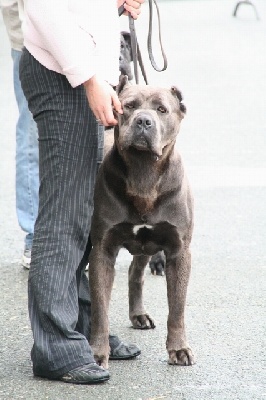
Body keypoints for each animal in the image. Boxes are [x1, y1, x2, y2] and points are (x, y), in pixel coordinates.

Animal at [88, 76, 194, 370]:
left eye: (162, 110)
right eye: (129, 106)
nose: (143, 121)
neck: (143, 171)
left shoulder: (179, 252)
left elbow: (177, 308)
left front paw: (179, 349)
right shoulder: (102, 250)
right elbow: (99, 308)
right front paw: (98, 353)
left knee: (136, 275)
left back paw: (139, 314)